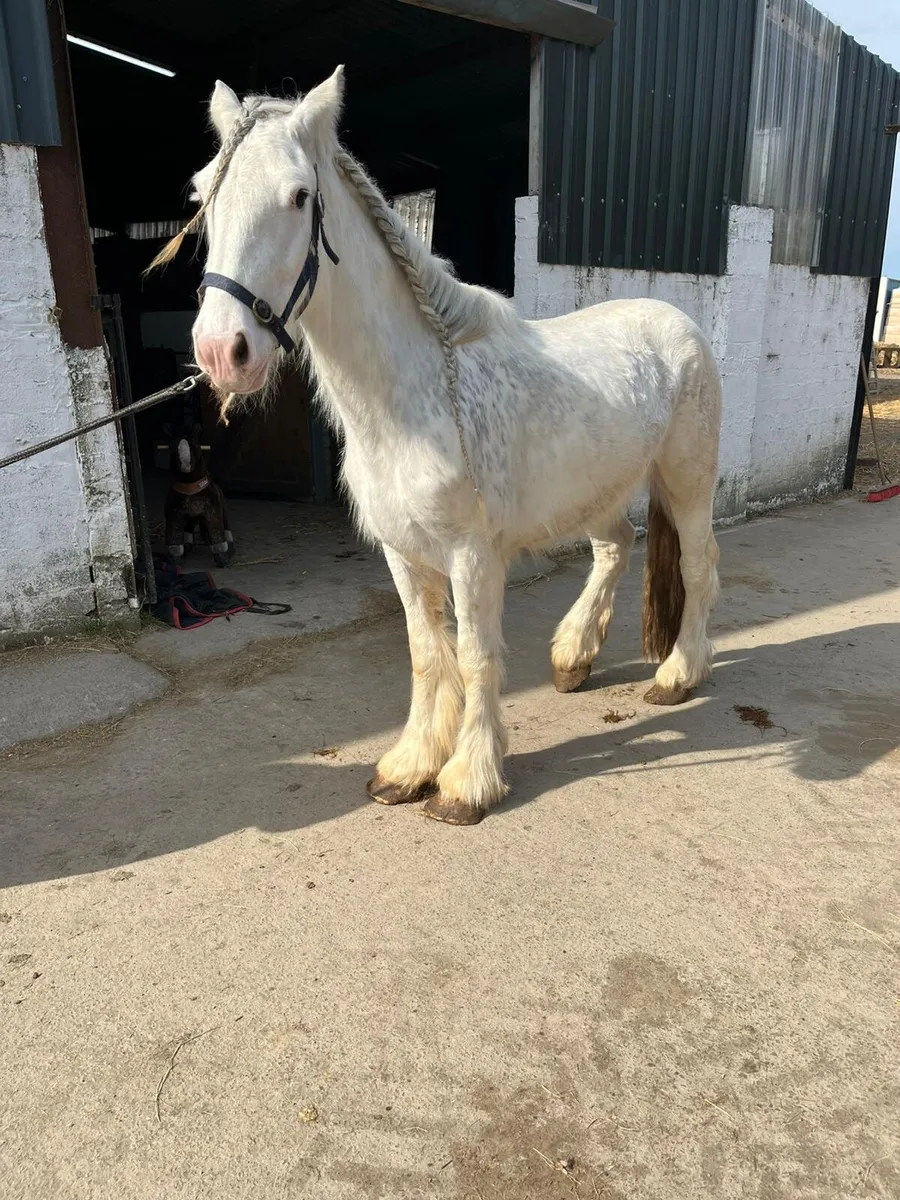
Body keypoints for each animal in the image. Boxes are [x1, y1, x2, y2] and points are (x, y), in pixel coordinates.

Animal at [168, 67, 721, 826]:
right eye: (203, 197)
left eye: (300, 195)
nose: (223, 351)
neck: (414, 393)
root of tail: (678, 321)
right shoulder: (403, 554)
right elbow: (429, 654)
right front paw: (408, 768)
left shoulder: (472, 556)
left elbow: (477, 656)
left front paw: (468, 783)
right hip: (596, 492)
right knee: (617, 546)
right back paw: (573, 657)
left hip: (687, 482)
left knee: (697, 569)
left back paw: (677, 675)